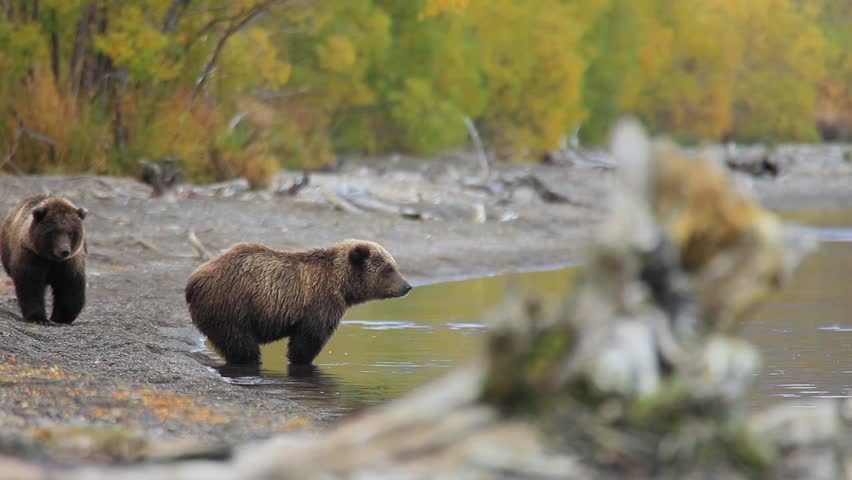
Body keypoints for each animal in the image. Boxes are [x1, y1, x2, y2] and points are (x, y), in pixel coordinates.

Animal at [0, 194, 88, 324]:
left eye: (71, 232)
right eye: (53, 231)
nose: (64, 251)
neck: (52, 259)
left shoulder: (70, 263)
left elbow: (70, 288)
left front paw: (61, 317)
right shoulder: (32, 257)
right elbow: (31, 286)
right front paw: (39, 318)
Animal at [185, 239, 412, 365]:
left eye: (394, 266)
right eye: (388, 269)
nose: (407, 286)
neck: (342, 285)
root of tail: (194, 280)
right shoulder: (319, 303)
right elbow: (308, 340)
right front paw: (300, 360)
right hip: (232, 305)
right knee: (241, 342)